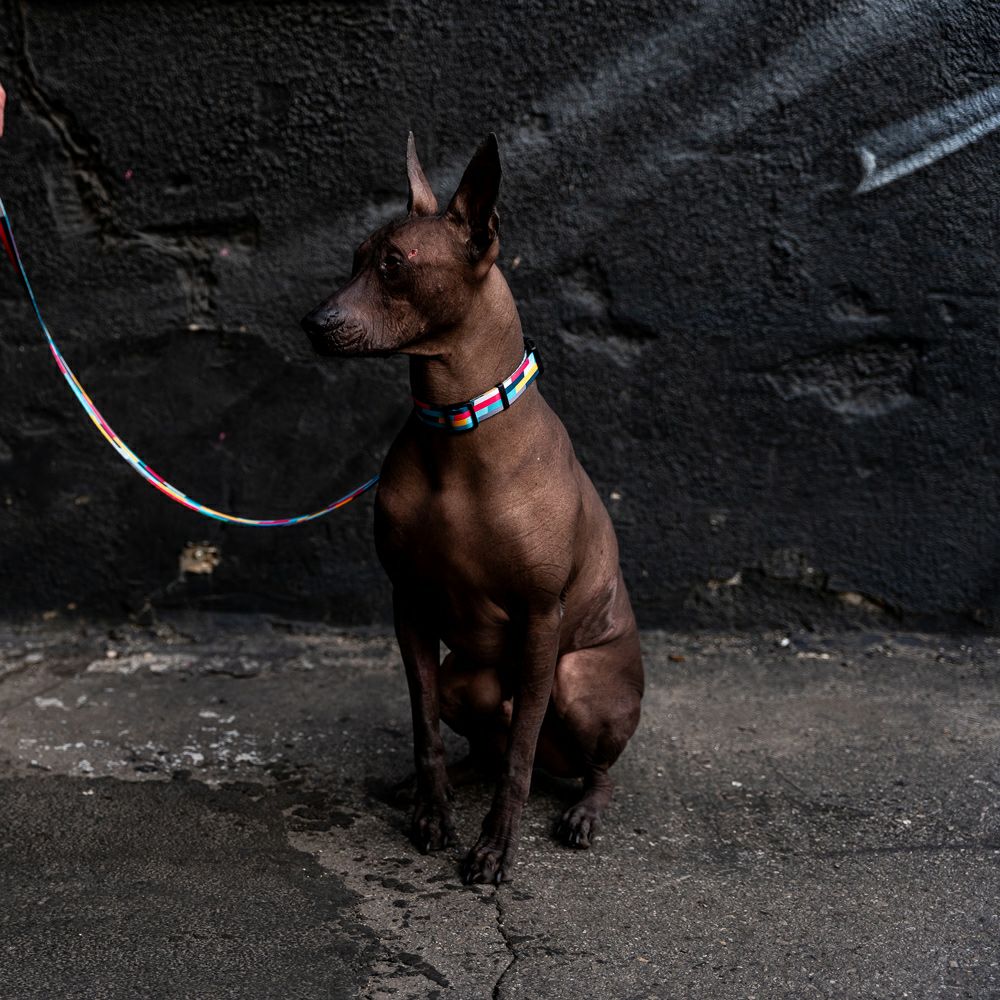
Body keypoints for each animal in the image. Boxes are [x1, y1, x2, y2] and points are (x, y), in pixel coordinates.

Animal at [301, 133, 644, 884]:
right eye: (355, 257)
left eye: (395, 265)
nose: (312, 324)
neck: (457, 426)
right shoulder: (408, 604)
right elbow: (425, 723)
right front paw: (431, 811)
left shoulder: (542, 617)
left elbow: (519, 758)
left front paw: (494, 846)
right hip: (468, 677)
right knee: (482, 744)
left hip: (577, 679)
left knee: (580, 764)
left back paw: (584, 809)